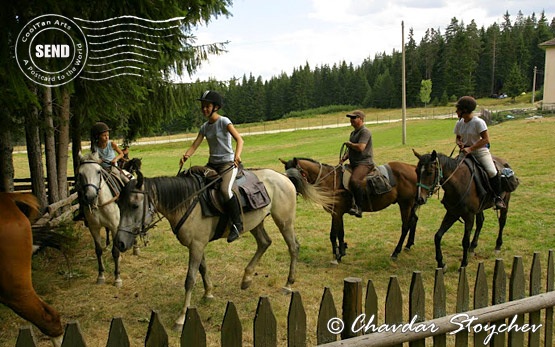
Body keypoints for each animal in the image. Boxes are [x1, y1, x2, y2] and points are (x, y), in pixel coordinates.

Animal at [113, 169, 302, 332]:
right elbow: (203, 269)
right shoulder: (197, 245)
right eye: (119, 205)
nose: (119, 243)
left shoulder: (196, 245)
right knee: (264, 243)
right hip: (256, 223)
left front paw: (181, 319)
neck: (187, 202)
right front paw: (208, 294)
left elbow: (190, 280)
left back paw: (288, 284)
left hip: (284, 222)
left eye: (134, 205)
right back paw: (246, 278)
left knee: (293, 247)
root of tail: (283, 176)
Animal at [280, 158, 420, 264]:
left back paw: (396, 252)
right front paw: (340, 252)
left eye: (294, 177)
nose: (289, 192)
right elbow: (337, 234)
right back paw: (408, 245)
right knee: (414, 220)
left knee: (405, 226)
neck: (330, 181)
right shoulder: (337, 214)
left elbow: (336, 234)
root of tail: (412, 168)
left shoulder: (337, 213)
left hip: (405, 204)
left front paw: (337, 256)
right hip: (411, 205)